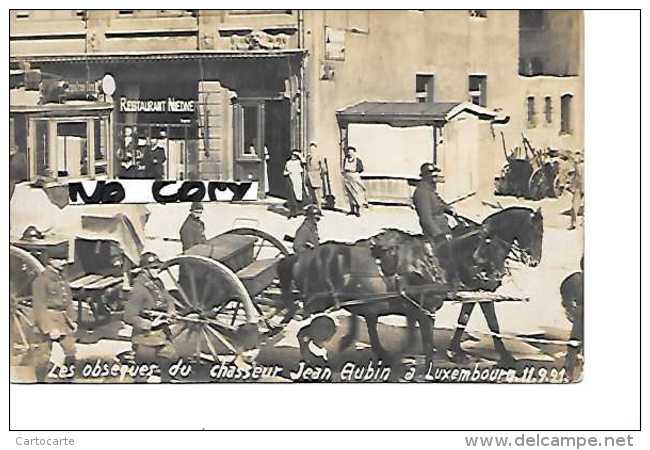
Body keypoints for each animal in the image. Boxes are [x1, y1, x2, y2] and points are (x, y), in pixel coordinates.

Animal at [278, 207, 540, 366]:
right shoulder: (432, 308)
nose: (496, 275)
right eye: (535, 232)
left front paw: (457, 351)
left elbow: (460, 322)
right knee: (306, 331)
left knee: (364, 322)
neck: (439, 257)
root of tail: (300, 257)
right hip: (319, 303)